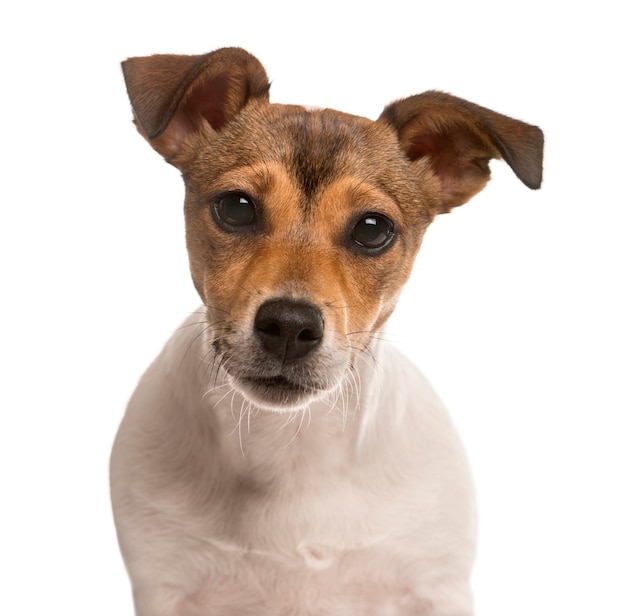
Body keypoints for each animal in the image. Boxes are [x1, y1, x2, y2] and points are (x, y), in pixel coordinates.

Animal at [112, 45, 540, 612]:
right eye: (236, 207)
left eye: (373, 230)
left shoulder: (435, 585)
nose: (289, 326)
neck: (290, 441)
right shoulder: (165, 582)